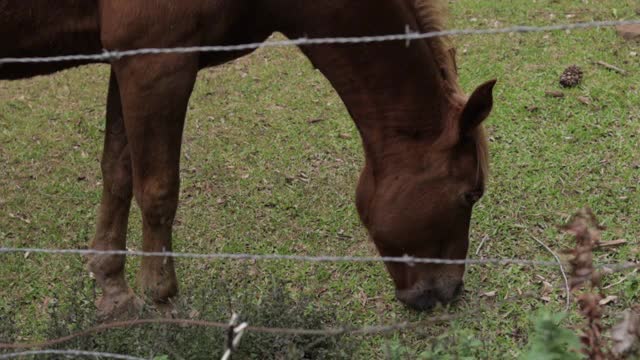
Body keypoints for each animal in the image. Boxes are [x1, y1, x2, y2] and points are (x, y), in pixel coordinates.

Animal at [1, 0, 496, 314]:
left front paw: (112, 290)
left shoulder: (127, 62)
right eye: (470, 195)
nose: (449, 292)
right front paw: (162, 302)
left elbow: (118, 173)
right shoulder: (156, 64)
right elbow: (159, 191)